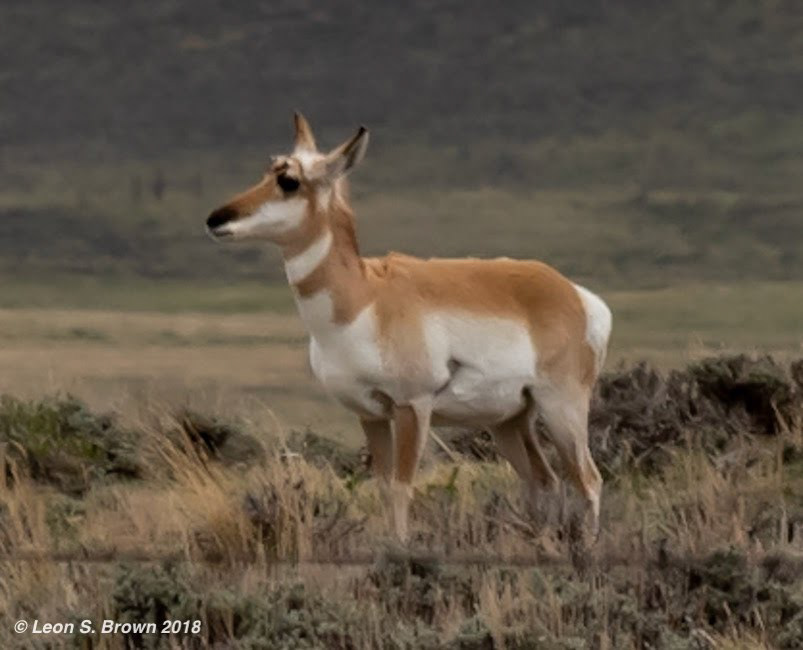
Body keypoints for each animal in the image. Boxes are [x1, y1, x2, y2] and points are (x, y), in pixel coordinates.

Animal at [206, 114, 612, 542]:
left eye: (289, 181)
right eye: (267, 171)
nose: (216, 218)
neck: (365, 298)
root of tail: (575, 294)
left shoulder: (412, 406)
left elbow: (402, 487)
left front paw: (401, 549)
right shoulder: (369, 414)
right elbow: (384, 486)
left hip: (561, 408)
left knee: (588, 480)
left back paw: (586, 546)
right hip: (508, 420)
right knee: (543, 479)